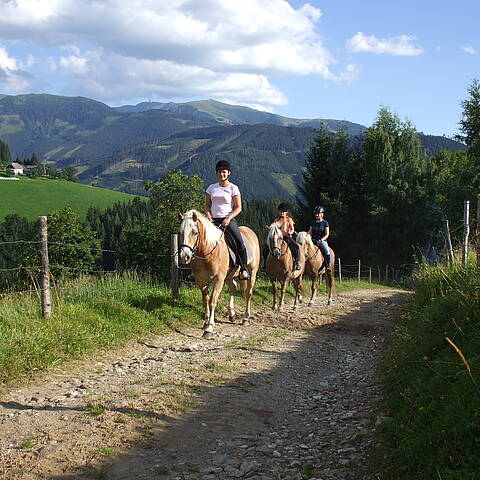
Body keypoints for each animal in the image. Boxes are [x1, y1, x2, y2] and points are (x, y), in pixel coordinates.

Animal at [178, 209, 258, 338]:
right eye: (180, 232)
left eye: (195, 232)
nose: (184, 256)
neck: (208, 252)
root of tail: (250, 232)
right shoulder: (201, 281)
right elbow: (205, 300)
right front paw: (205, 323)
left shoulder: (218, 280)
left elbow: (212, 301)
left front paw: (209, 329)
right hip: (229, 276)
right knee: (234, 287)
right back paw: (232, 314)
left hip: (252, 272)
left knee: (248, 293)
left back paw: (246, 318)